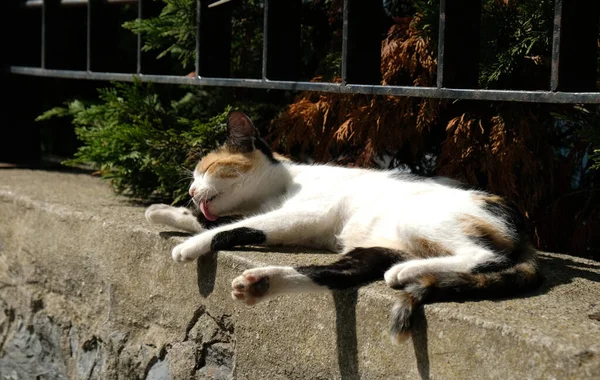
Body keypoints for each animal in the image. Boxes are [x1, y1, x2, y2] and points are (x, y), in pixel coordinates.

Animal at [146, 110, 544, 344]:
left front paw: (189, 246)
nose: (191, 190)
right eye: (193, 178)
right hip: (376, 247)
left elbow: (234, 228)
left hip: (419, 219)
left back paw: (407, 271)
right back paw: (261, 283)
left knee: (484, 255)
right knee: (336, 274)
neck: (284, 183)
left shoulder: (306, 214)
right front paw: (162, 213)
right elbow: (218, 220)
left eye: (208, 169)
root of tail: (524, 233)